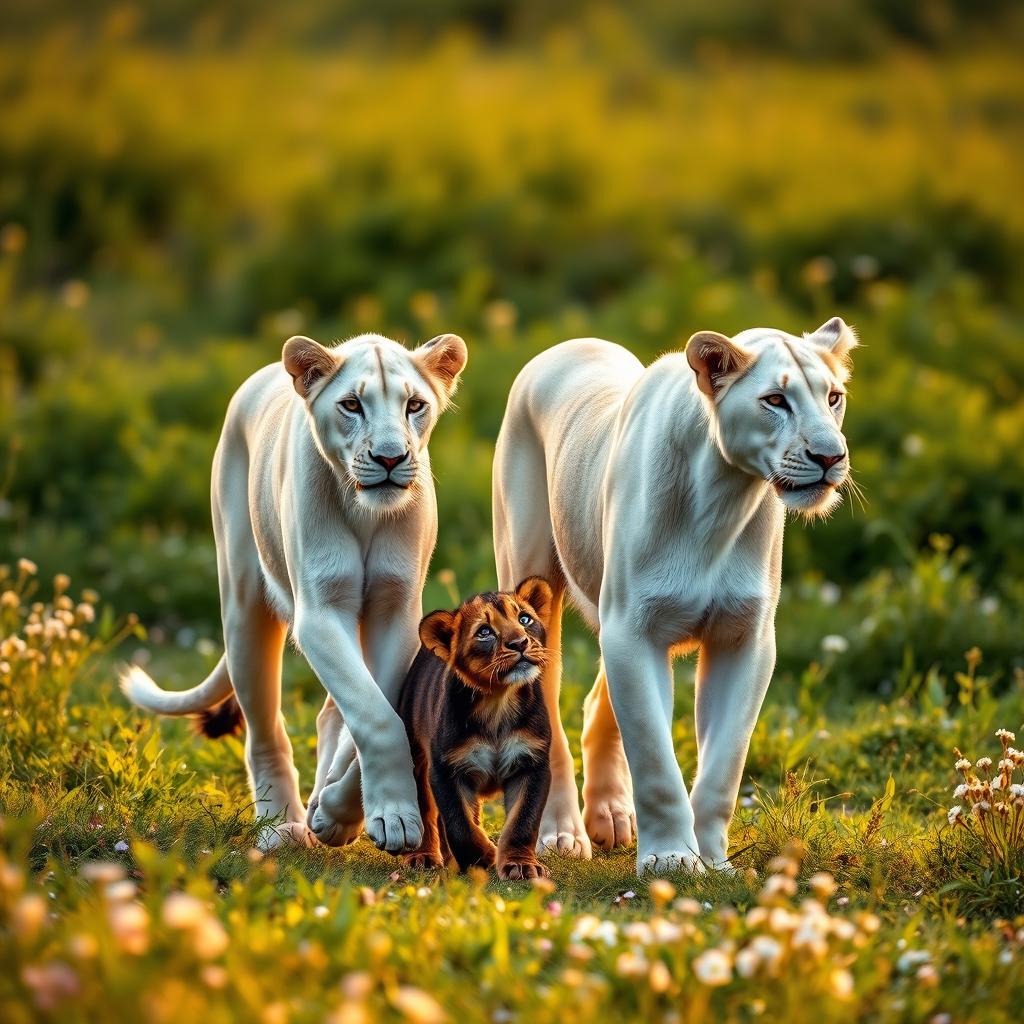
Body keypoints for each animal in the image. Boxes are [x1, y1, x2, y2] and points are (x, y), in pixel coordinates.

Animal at [122, 331, 468, 852]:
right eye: (351, 405)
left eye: (414, 405)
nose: (390, 458)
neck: (364, 511)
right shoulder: (320, 612)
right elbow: (377, 718)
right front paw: (386, 816)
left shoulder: (397, 610)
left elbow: (379, 710)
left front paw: (342, 814)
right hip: (245, 607)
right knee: (264, 731)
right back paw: (280, 826)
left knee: (330, 715)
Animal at [492, 318, 856, 873]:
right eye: (775, 400)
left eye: (832, 397)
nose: (829, 456)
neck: (725, 497)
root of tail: (568, 344)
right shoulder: (633, 631)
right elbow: (654, 758)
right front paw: (670, 860)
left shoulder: (744, 639)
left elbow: (724, 764)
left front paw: (715, 863)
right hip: (531, 581)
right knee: (548, 715)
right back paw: (561, 835)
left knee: (596, 704)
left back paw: (611, 817)